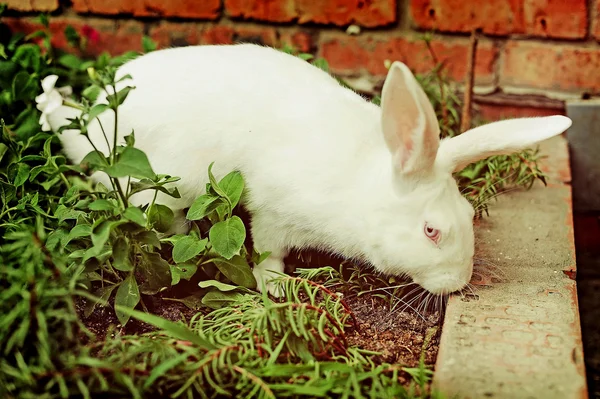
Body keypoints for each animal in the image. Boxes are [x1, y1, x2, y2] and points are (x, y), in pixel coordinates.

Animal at [45, 43, 572, 296]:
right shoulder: (274, 213)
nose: (458, 284)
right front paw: (277, 286)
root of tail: (92, 122)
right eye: (431, 231)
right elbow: (267, 251)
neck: (360, 192)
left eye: (468, 216)